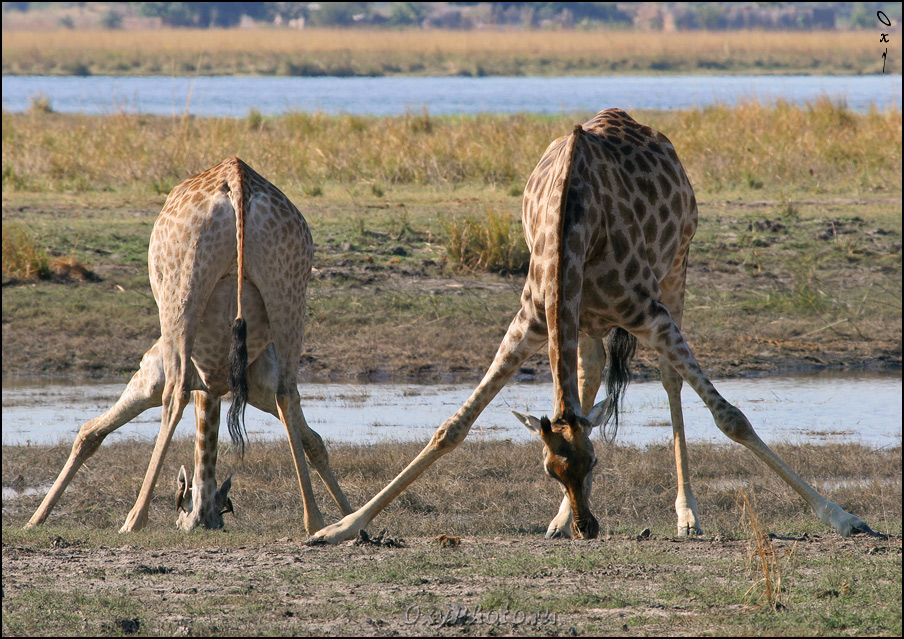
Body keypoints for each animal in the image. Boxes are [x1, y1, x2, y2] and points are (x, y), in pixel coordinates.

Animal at [26, 159, 352, 536]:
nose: (198, 522)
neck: (213, 383)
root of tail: (239, 180)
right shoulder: (256, 385)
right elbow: (312, 439)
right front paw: (349, 516)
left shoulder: (151, 372)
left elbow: (90, 431)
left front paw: (34, 521)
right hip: (289, 293)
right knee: (288, 392)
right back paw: (314, 520)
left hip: (181, 293)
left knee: (175, 392)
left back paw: (134, 520)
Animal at [306, 110, 876, 544]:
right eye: (549, 470)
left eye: (597, 462)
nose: (589, 526)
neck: (573, 226)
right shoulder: (531, 321)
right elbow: (452, 427)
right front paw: (340, 528)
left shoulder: (650, 314)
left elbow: (731, 418)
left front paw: (844, 517)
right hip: (589, 323)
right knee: (592, 374)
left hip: (677, 271)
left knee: (670, 381)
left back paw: (687, 515)